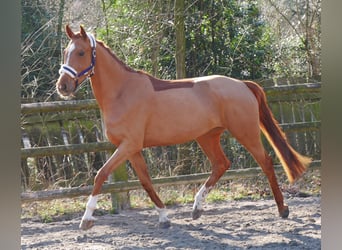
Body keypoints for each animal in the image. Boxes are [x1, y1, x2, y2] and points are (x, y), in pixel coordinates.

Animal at [56, 25, 312, 230]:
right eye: (65, 52)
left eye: (81, 52)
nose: (63, 86)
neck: (121, 92)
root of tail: (242, 84)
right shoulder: (132, 149)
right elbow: (146, 182)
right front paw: (164, 218)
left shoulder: (128, 145)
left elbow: (101, 175)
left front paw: (86, 220)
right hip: (207, 137)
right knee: (221, 164)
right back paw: (196, 209)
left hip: (245, 132)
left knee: (265, 162)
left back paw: (282, 209)